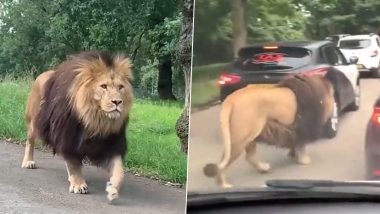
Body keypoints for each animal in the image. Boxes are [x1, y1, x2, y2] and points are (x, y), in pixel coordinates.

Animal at [21, 50, 134, 202]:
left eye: (120, 87)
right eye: (103, 86)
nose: (117, 102)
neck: (96, 120)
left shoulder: (111, 143)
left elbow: (119, 170)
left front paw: (113, 189)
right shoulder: (68, 137)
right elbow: (73, 163)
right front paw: (79, 184)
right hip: (35, 122)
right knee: (30, 141)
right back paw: (28, 162)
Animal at [203, 74, 334, 188]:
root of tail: (231, 99)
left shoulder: (293, 129)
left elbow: (294, 142)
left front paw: (293, 155)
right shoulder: (302, 126)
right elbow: (301, 145)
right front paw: (303, 160)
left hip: (249, 134)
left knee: (247, 157)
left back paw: (263, 168)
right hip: (241, 136)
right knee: (226, 161)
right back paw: (224, 185)